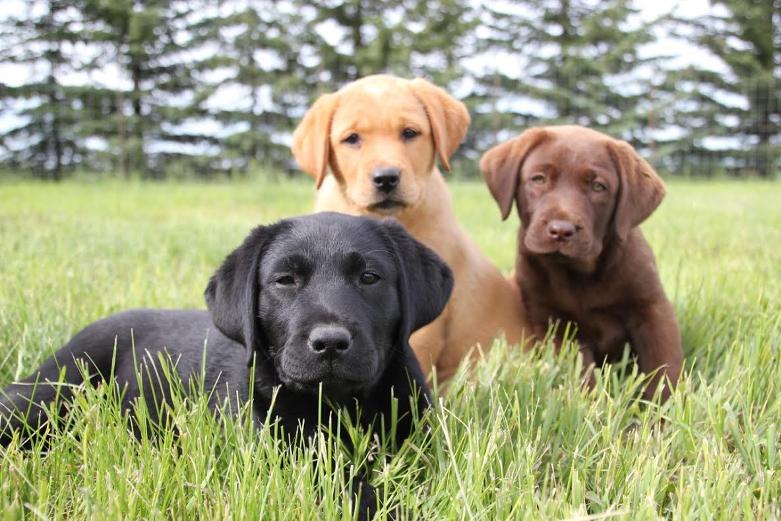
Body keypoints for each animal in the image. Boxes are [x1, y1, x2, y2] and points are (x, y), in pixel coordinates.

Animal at [0, 210, 450, 516]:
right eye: (285, 280)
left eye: (370, 277)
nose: (329, 343)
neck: (340, 404)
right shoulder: (280, 457)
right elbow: (346, 485)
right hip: (50, 391)